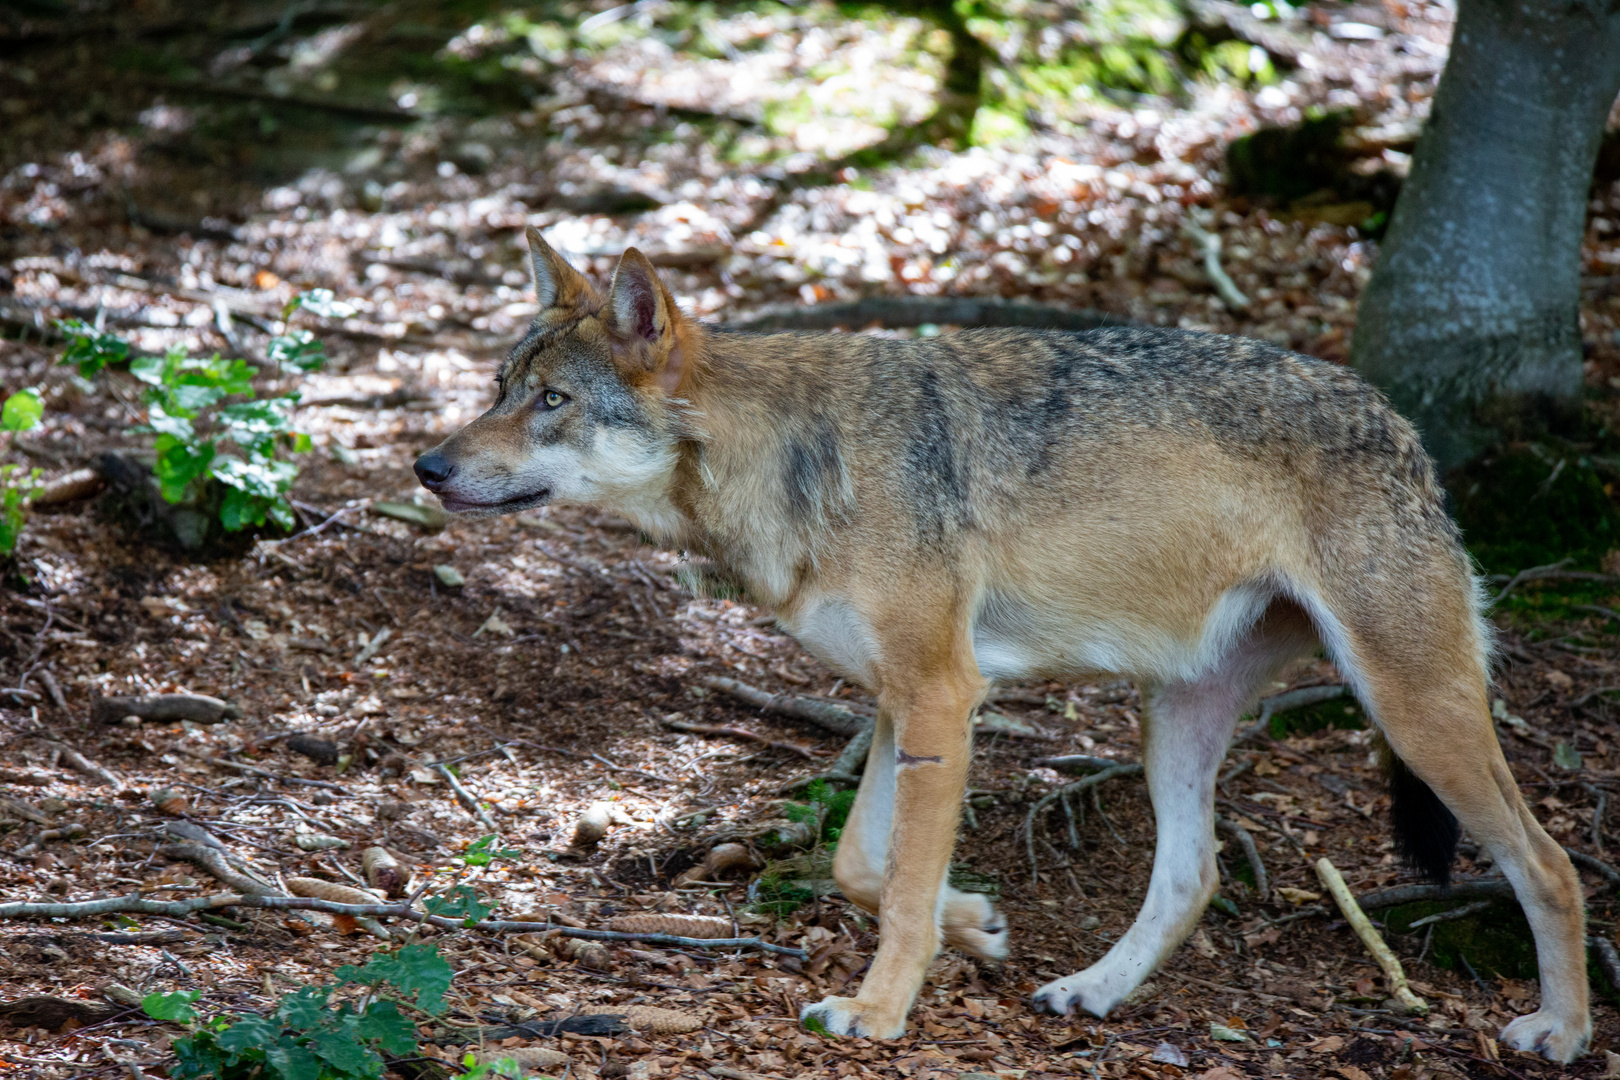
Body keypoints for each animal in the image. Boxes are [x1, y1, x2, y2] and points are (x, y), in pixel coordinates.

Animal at [414, 228, 1594, 1062]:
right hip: (1173, 719)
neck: (796, 456)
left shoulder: (944, 690)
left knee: (1551, 864)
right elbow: (862, 863)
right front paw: (976, 927)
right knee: (1194, 874)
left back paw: (1564, 1032)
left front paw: (879, 1011)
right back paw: (1094, 991)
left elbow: (894, 886)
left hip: (1411, 707)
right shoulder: (900, 698)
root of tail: (1401, 428)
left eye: (552, 400)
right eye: (499, 389)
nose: (427, 465)